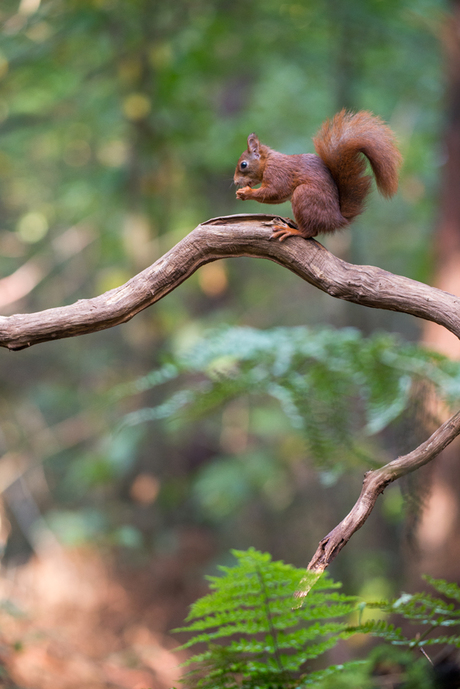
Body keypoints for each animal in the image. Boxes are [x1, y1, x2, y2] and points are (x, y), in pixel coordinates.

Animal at [235, 110, 400, 242]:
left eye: (243, 164)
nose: (236, 182)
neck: (268, 161)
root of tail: (335, 219)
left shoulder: (278, 173)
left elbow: (274, 192)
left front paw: (246, 192)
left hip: (304, 195)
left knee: (310, 232)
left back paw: (292, 230)